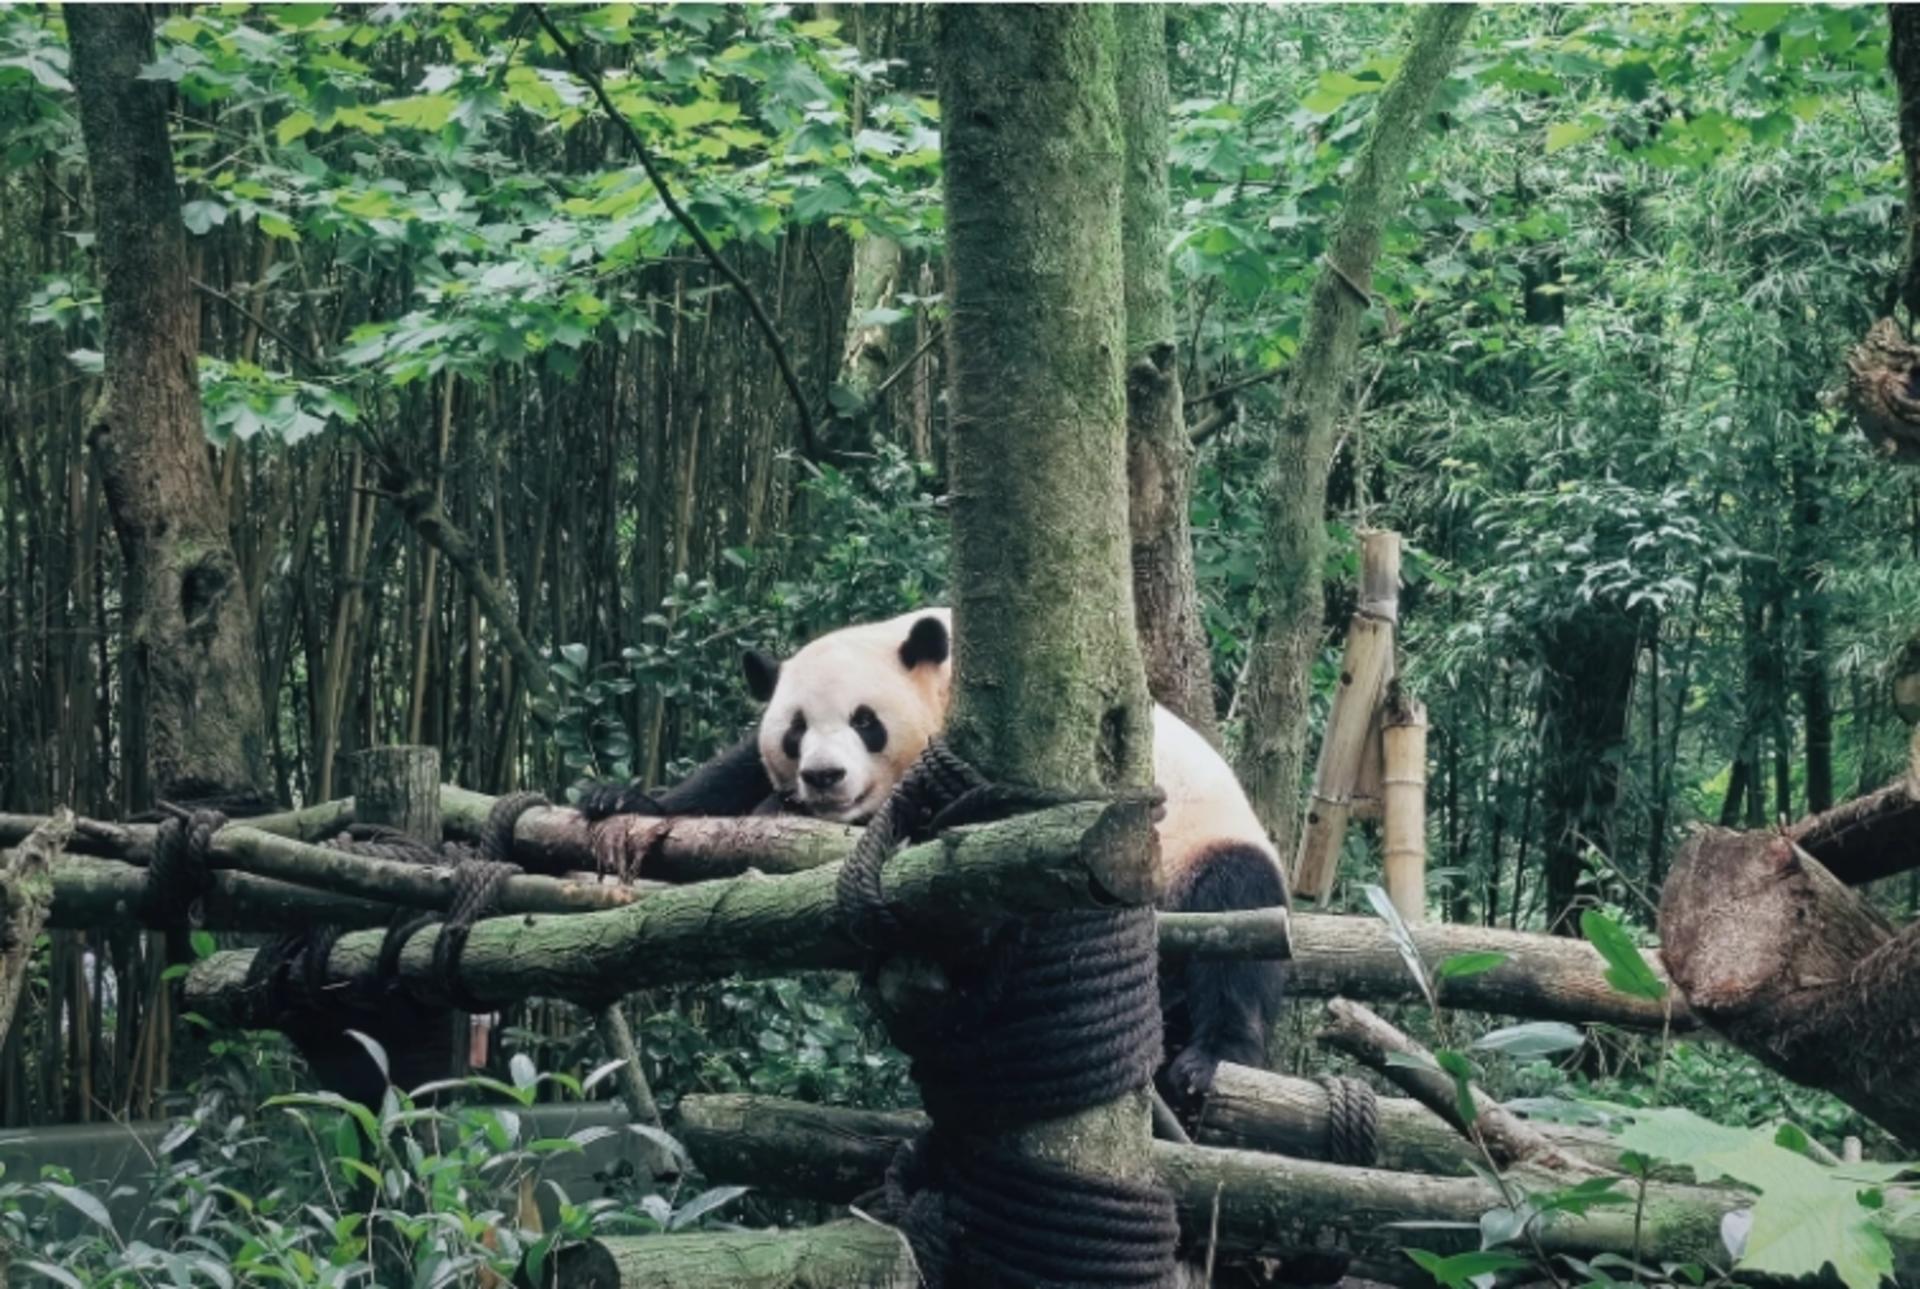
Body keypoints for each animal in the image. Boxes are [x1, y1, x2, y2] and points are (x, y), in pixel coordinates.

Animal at [580, 607, 1289, 1104]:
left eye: (865, 721)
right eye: (796, 730)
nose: (824, 778)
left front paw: (777, 811)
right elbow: (727, 777)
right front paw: (621, 797)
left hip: (1196, 849)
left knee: (1237, 921)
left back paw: (1209, 1060)